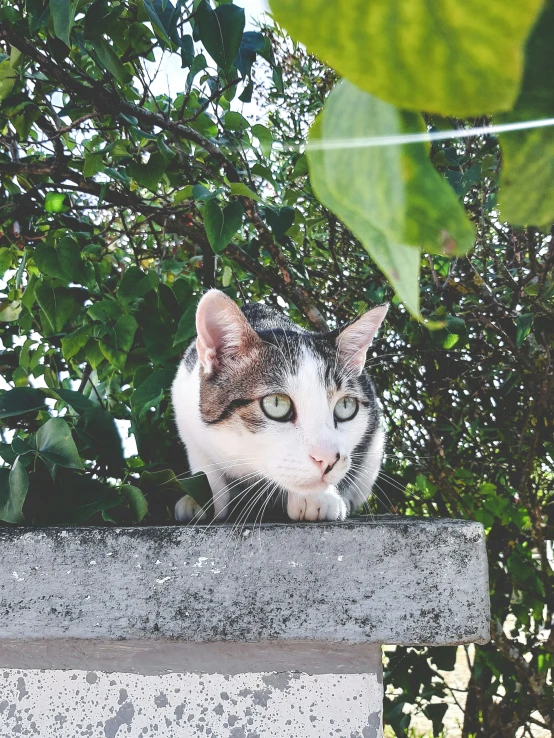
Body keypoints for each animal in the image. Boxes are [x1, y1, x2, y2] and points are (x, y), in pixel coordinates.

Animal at [170, 288, 386, 524]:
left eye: (345, 406)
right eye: (276, 404)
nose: (328, 459)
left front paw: (317, 497)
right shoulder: (184, 404)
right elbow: (203, 462)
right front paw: (203, 497)